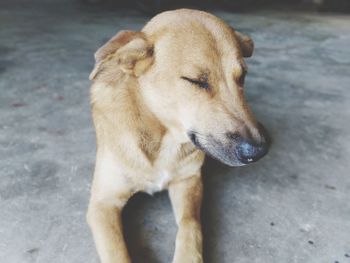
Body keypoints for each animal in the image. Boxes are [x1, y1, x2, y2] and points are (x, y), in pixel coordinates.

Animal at [87, 8, 268, 263]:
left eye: (242, 77)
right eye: (196, 81)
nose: (260, 150)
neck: (163, 139)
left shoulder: (189, 181)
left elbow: (191, 225)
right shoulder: (102, 204)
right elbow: (118, 255)